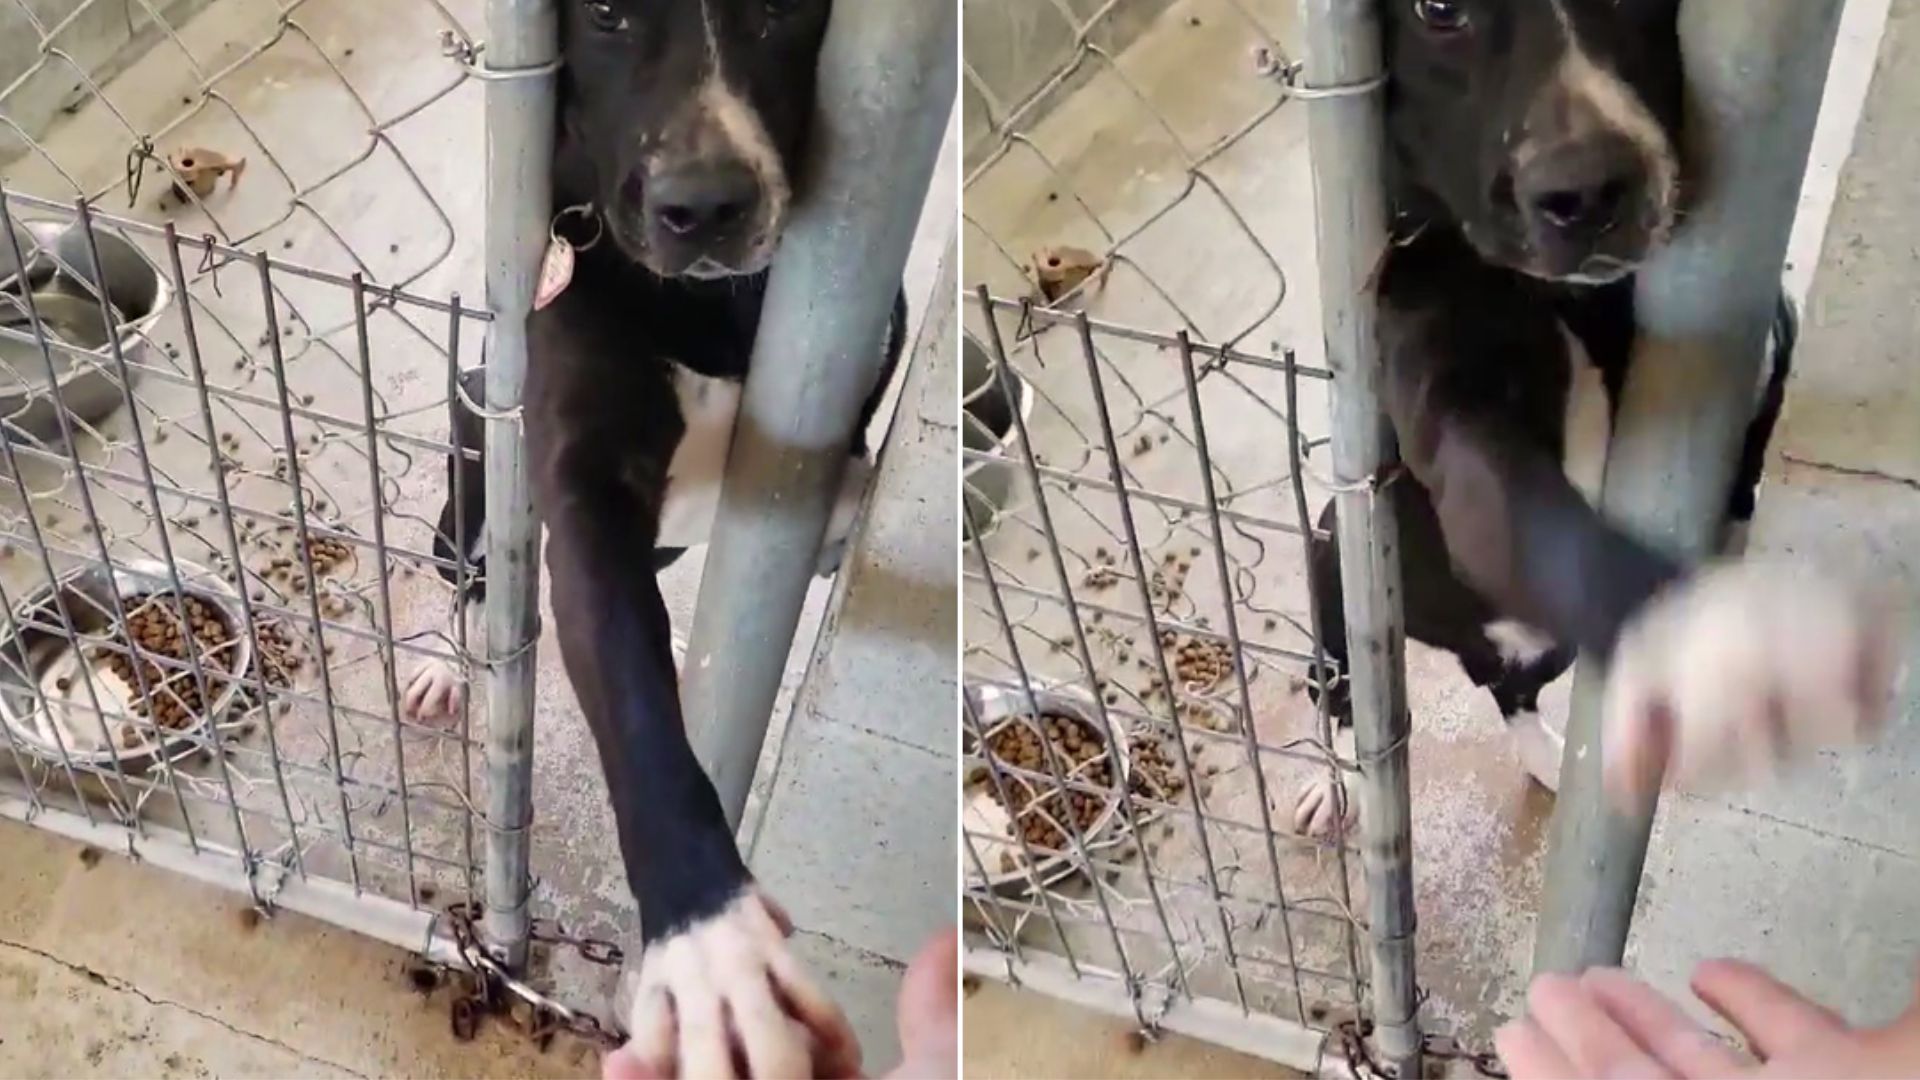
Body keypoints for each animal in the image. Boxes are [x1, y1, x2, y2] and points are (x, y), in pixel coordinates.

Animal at [399, 4, 906, 1068]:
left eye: (784, 13)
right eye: (607, 16)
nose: (703, 207)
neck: (705, 306)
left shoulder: (848, 407)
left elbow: (849, 482)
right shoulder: (583, 508)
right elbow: (636, 711)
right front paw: (713, 941)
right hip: (471, 498)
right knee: (468, 582)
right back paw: (439, 662)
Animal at [1282, 0, 1896, 834]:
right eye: (1439, 10)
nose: (1589, 192)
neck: (1568, 301)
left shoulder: (1769, 344)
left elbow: (1751, 454)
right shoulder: (1459, 422)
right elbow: (1543, 516)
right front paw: (1719, 644)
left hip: (1538, 646)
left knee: (1508, 691)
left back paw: (1546, 755)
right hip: (1338, 581)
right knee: (1341, 695)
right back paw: (1333, 781)